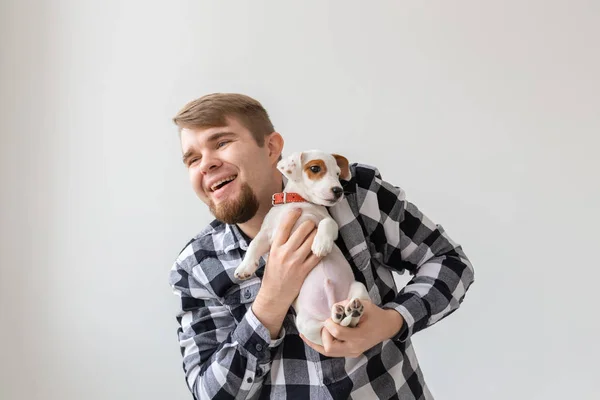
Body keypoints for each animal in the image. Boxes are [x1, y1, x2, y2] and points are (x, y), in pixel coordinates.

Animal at [233, 150, 370, 346]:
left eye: (337, 173)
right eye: (315, 168)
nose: (338, 191)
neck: (300, 202)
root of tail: (330, 307)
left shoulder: (329, 223)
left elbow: (327, 223)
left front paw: (321, 244)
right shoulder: (268, 234)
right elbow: (254, 244)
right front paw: (245, 268)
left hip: (359, 289)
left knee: (348, 324)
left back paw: (352, 311)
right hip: (305, 324)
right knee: (328, 328)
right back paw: (340, 314)